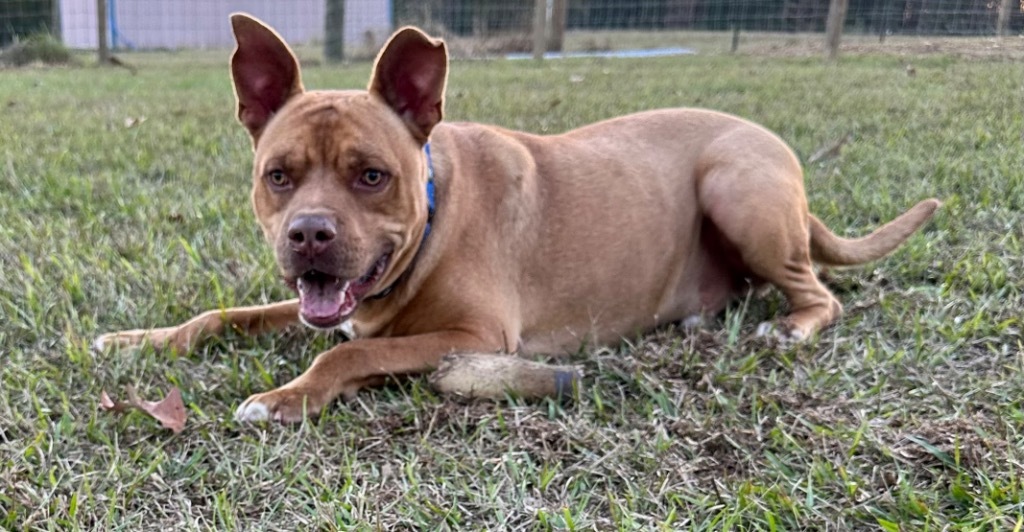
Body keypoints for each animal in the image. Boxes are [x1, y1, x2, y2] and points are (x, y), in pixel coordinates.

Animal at [94, 14, 937, 421]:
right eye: (279, 176)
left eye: (371, 176)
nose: (309, 235)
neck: (431, 221)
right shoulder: (319, 305)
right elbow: (218, 315)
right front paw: (138, 339)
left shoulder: (475, 336)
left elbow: (348, 355)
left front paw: (283, 398)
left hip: (738, 187)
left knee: (818, 291)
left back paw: (791, 326)